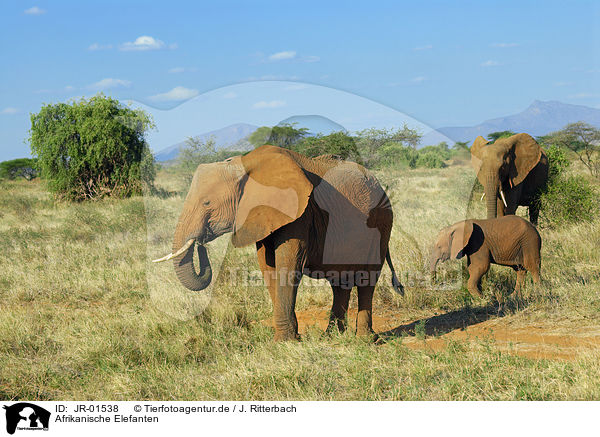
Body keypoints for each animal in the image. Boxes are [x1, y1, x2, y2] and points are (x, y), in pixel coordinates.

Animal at [154, 146, 404, 340]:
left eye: (207, 203)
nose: (201, 244)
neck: (246, 166)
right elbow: (268, 267)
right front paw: (289, 338)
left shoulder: (299, 213)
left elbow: (289, 266)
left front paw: (286, 341)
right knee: (339, 281)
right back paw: (332, 336)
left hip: (381, 224)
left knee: (367, 278)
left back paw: (365, 339)